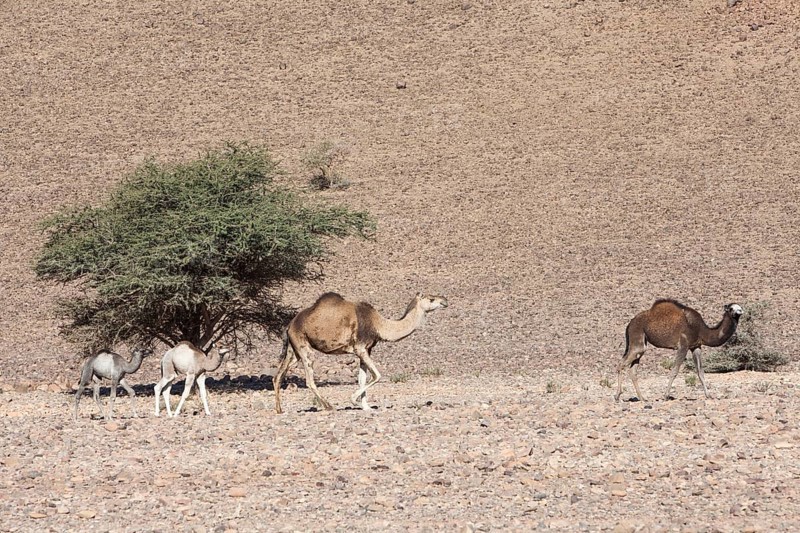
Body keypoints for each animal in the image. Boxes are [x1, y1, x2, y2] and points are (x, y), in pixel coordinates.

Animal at [273, 292, 449, 414]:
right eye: (431, 299)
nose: (445, 301)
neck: (379, 325)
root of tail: (289, 325)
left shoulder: (366, 350)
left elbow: (362, 379)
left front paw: (366, 407)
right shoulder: (360, 348)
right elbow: (377, 375)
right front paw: (354, 401)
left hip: (294, 350)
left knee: (278, 376)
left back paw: (279, 410)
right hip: (304, 346)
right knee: (309, 380)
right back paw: (329, 406)